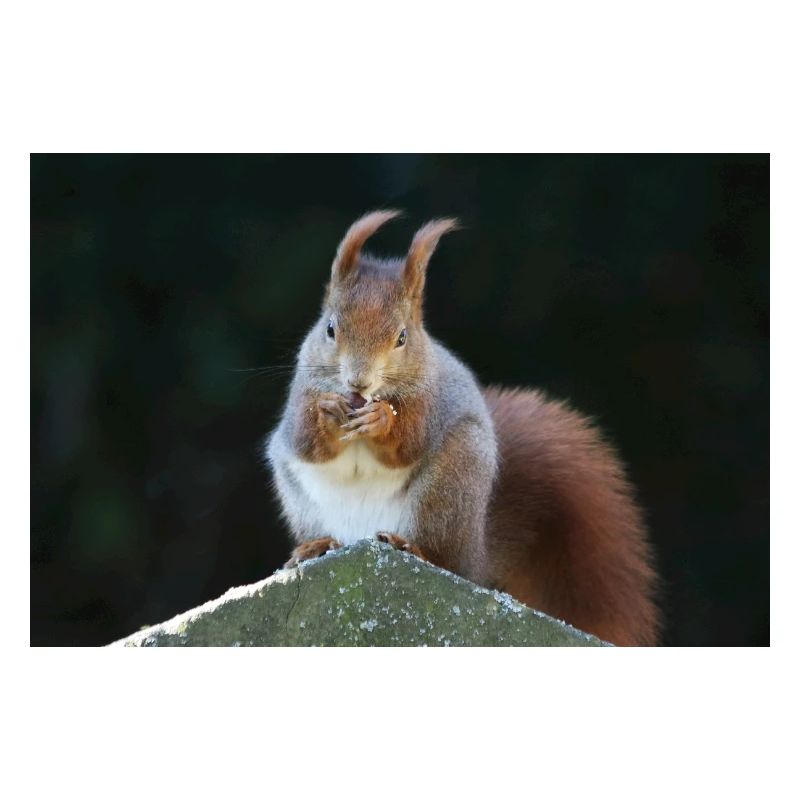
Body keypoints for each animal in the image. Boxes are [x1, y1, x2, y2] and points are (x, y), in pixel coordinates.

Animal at [266, 210, 660, 646]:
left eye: (402, 337)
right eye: (330, 329)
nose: (359, 383)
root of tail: (477, 553)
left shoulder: (430, 401)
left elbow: (408, 444)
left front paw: (382, 419)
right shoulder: (299, 398)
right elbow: (305, 441)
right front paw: (328, 411)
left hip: (449, 488)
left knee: (445, 559)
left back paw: (412, 549)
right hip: (301, 499)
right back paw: (315, 547)